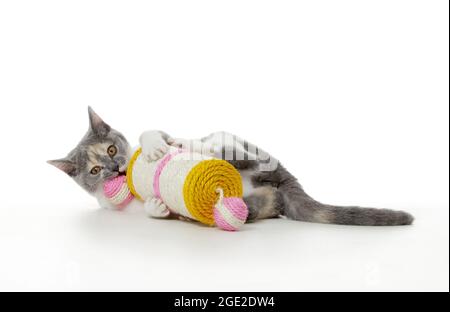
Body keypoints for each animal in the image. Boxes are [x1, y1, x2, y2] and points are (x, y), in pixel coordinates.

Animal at [49, 108, 414, 225]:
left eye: (112, 148)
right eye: (94, 172)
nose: (115, 168)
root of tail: (286, 178)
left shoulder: (158, 128)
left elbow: (151, 131)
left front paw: (156, 146)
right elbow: (156, 212)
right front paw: (157, 205)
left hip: (246, 147)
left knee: (237, 150)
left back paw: (200, 145)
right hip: (259, 199)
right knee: (264, 201)